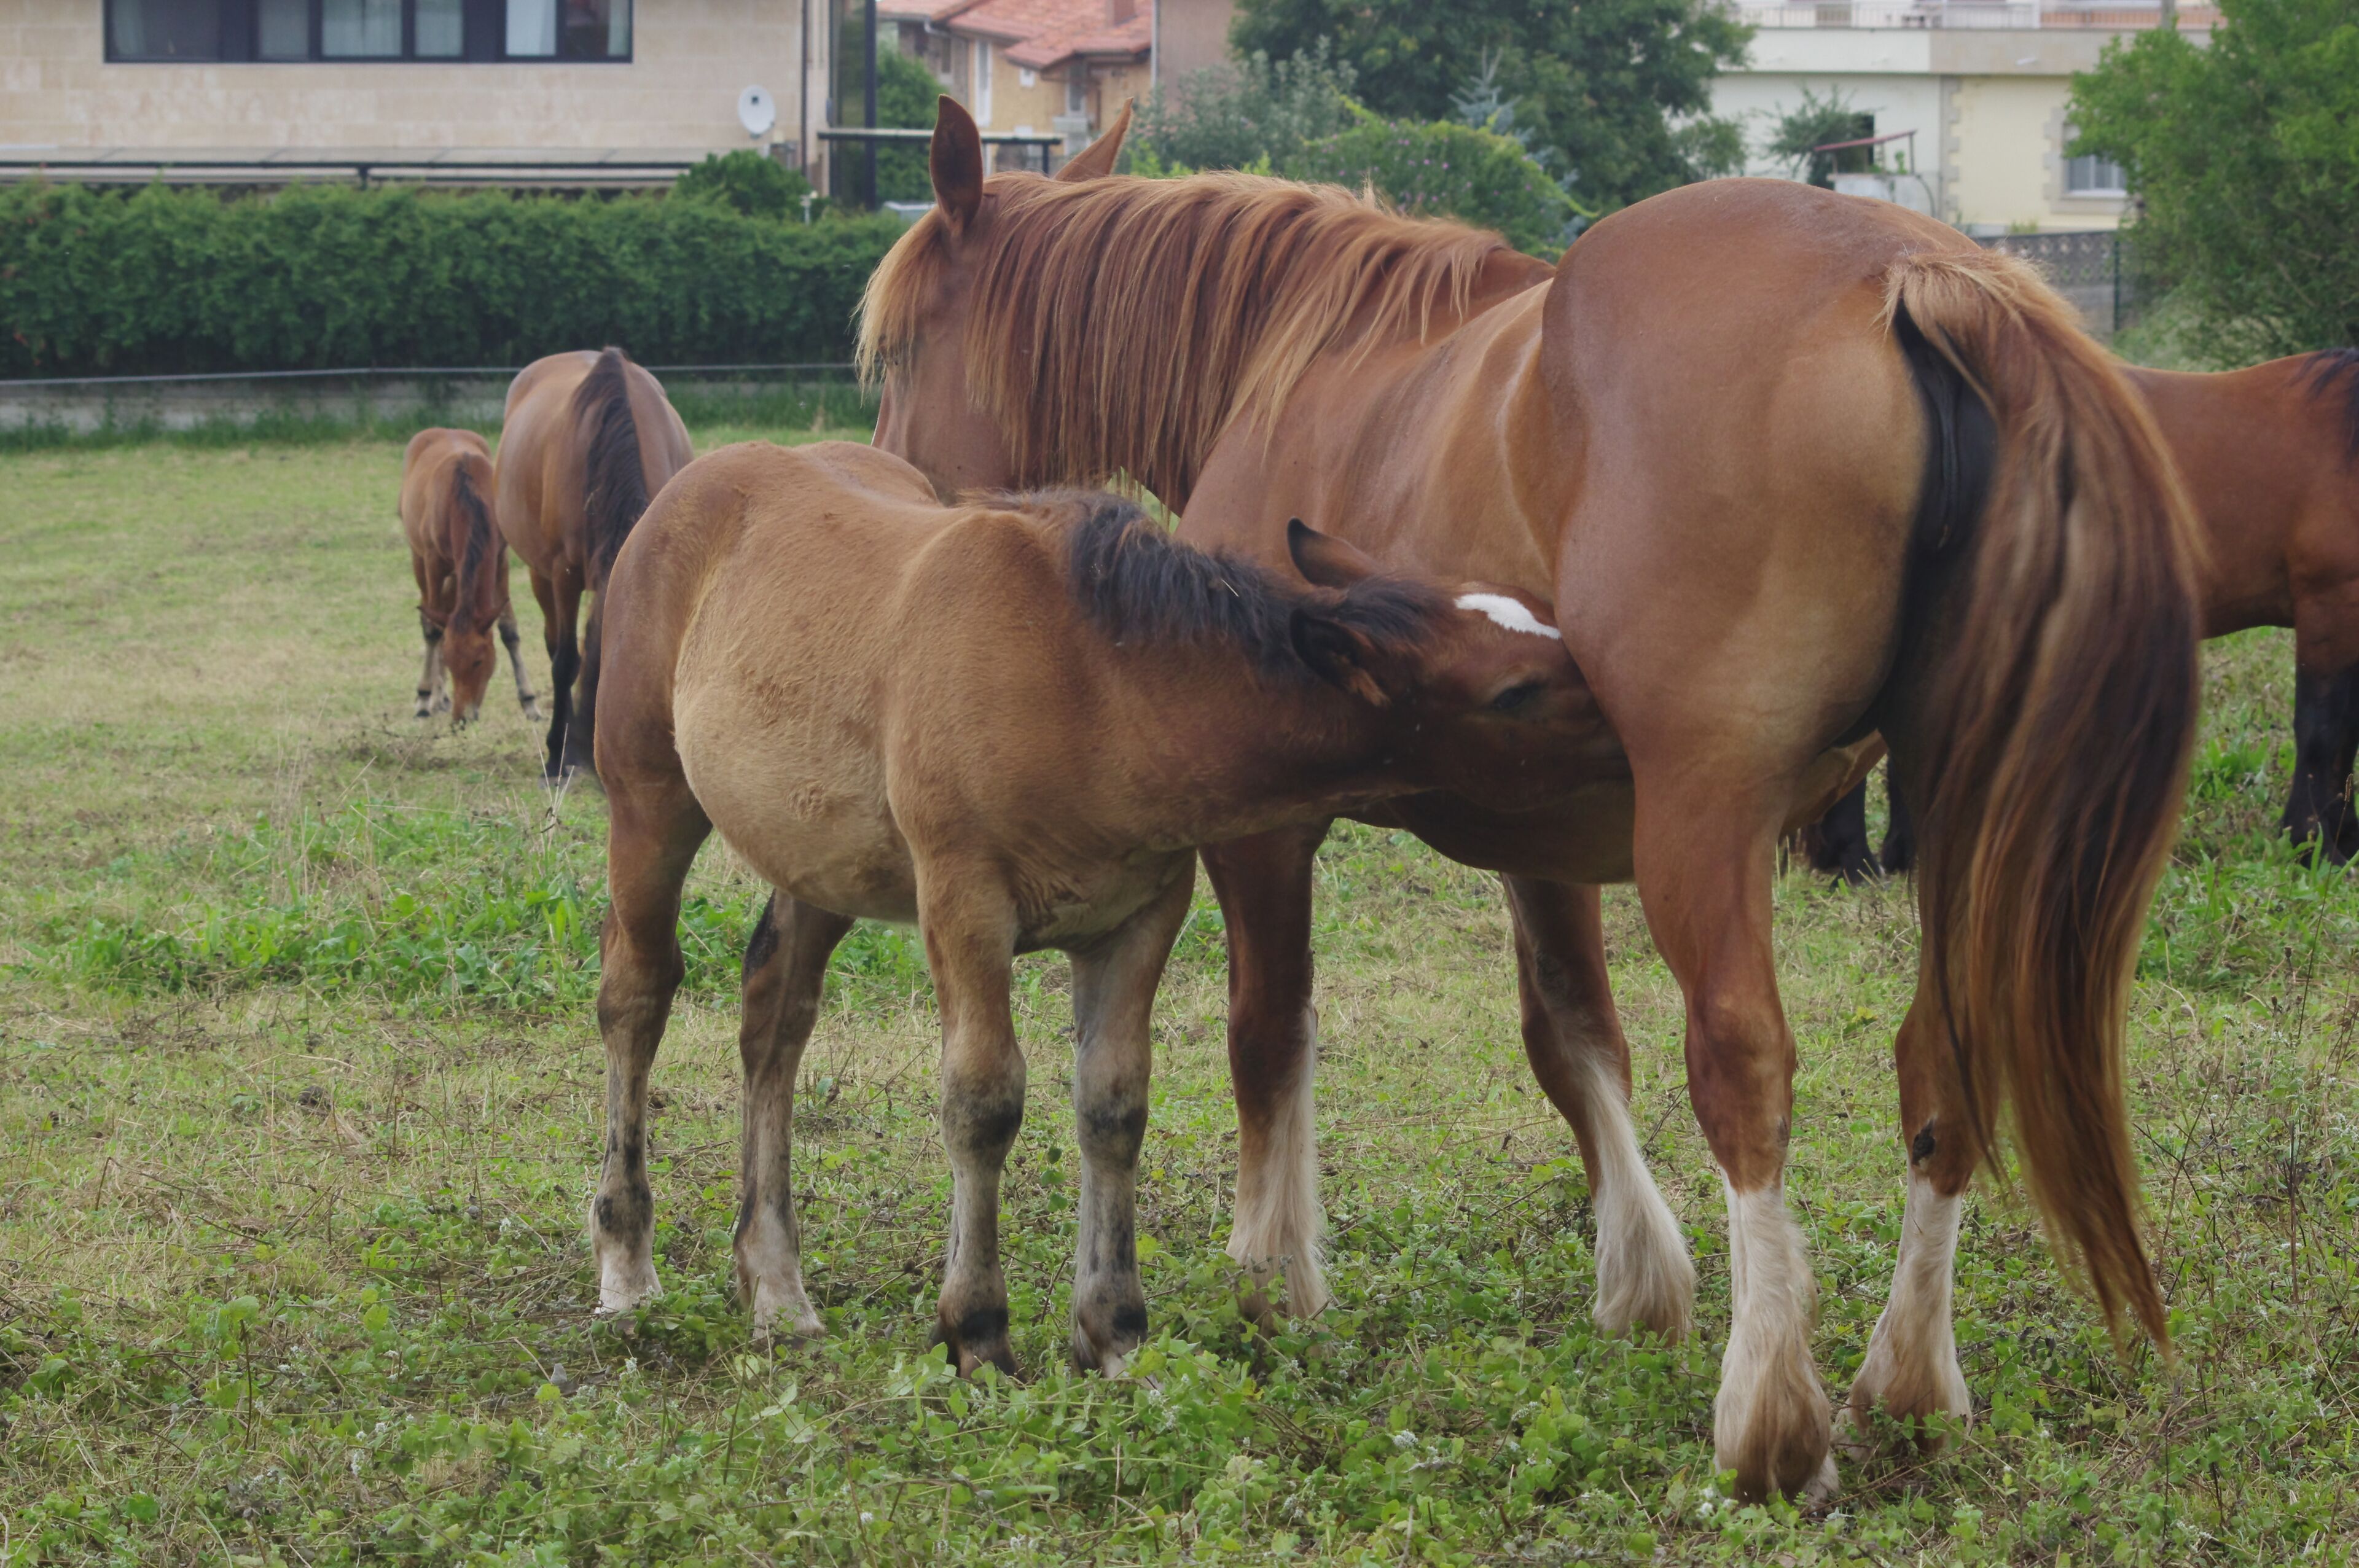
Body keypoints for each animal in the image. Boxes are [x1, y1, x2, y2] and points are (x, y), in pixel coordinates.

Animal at [399, 427, 540, 727]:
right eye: (452, 662)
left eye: (479, 661)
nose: (461, 718)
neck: (467, 497)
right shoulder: (433, 562)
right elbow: (434, 629)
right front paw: (424, 697)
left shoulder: (499, 558)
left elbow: (508, 629)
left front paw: (529, 701)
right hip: (419, 557)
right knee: (429, 616)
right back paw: (434, 696)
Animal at [587, 439, 1623, 1377]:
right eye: (1518, 693)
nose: (1629, 735)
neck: (1094, 681)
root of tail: (699, 478)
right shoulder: (963, 903)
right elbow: (984, 1102)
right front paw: (979, 1333)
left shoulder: (1142, 914)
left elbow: (1114, 1105)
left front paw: (1113, 1333)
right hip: (648, 803)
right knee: (638, 993)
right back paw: (629, 1271)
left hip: (819, 858)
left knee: (775, 1016)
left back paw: (776, 1289)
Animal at [856, 98, 2204, 1499]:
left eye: (895, 347)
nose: (884, 487)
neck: (1301, 360)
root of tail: (1912, 274)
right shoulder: (1538, 829)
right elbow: (1571, 1035)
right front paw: (1639, 1281)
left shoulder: (1268, 828)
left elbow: (1267, 1031)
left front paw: (1275, 1278)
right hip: (1948, 820)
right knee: (1937, 1056)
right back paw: (1911, 1378)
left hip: (1705, 825)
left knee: (1744, 1065)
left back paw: (1770, 1414)